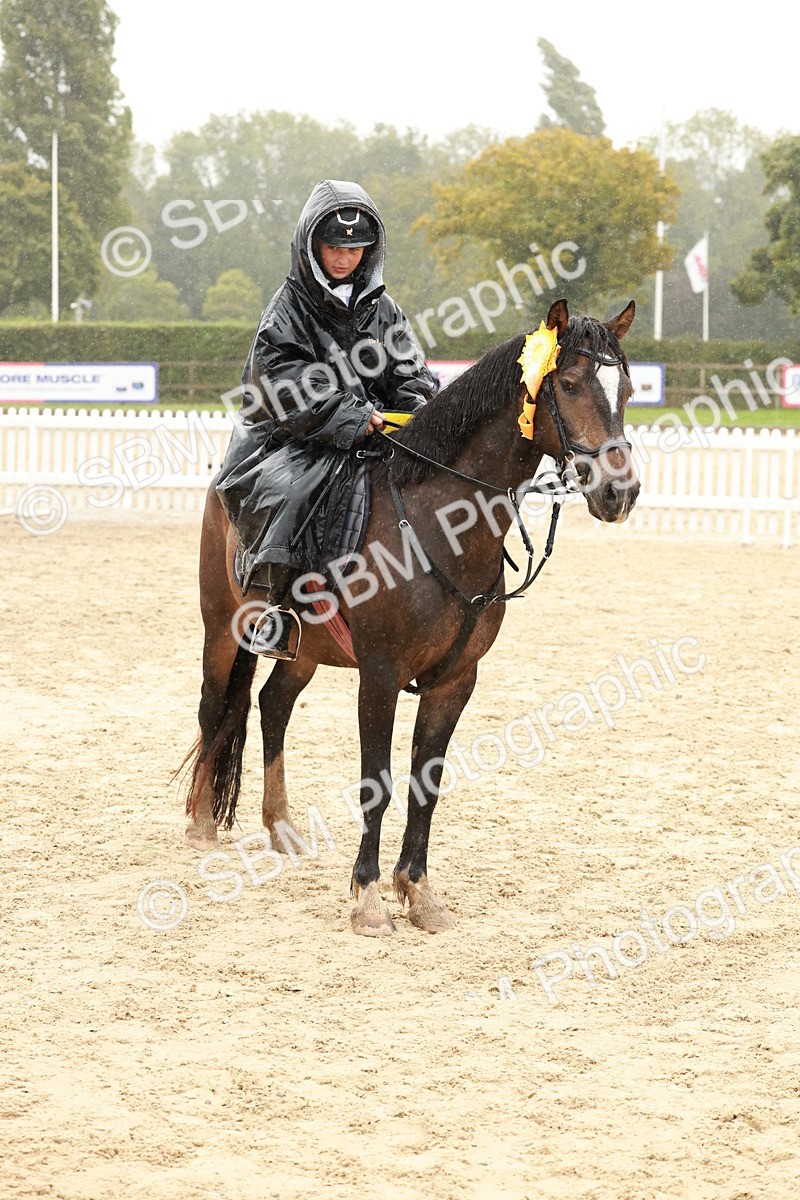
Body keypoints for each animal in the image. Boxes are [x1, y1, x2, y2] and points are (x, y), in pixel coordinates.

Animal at [183, 297, 640, 936]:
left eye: (626, 390)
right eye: (570, 384)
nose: (621, 492)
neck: (435, 524)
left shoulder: (455, 681)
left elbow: (428, 781)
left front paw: (418, 891)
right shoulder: (380, 676)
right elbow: (378, 782)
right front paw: (368, 897)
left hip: (307, 650)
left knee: (273, 706)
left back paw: (281, 827)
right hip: (223, 630)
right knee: (213, 707)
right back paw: (200, 824)